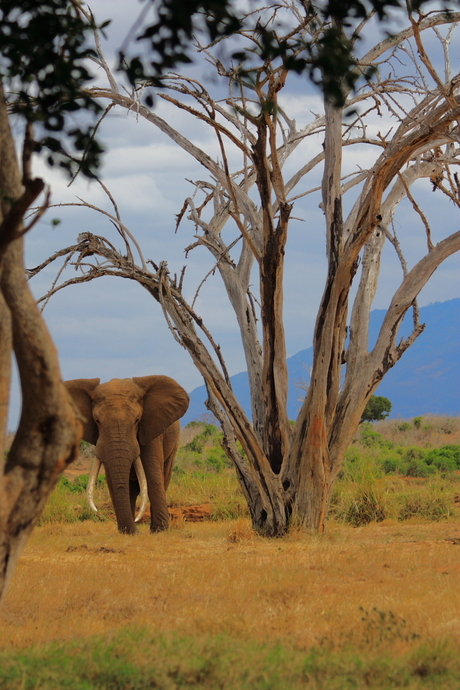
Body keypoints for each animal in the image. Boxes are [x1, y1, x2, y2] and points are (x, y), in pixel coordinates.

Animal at [64, 376, 189, 532]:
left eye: (137, 420)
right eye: (97, 421)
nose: (136, 531)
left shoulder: (150, 431)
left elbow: (152, 475)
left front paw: (159, 530)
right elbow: (113, 481)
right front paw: (128, 532)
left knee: (163, 475)